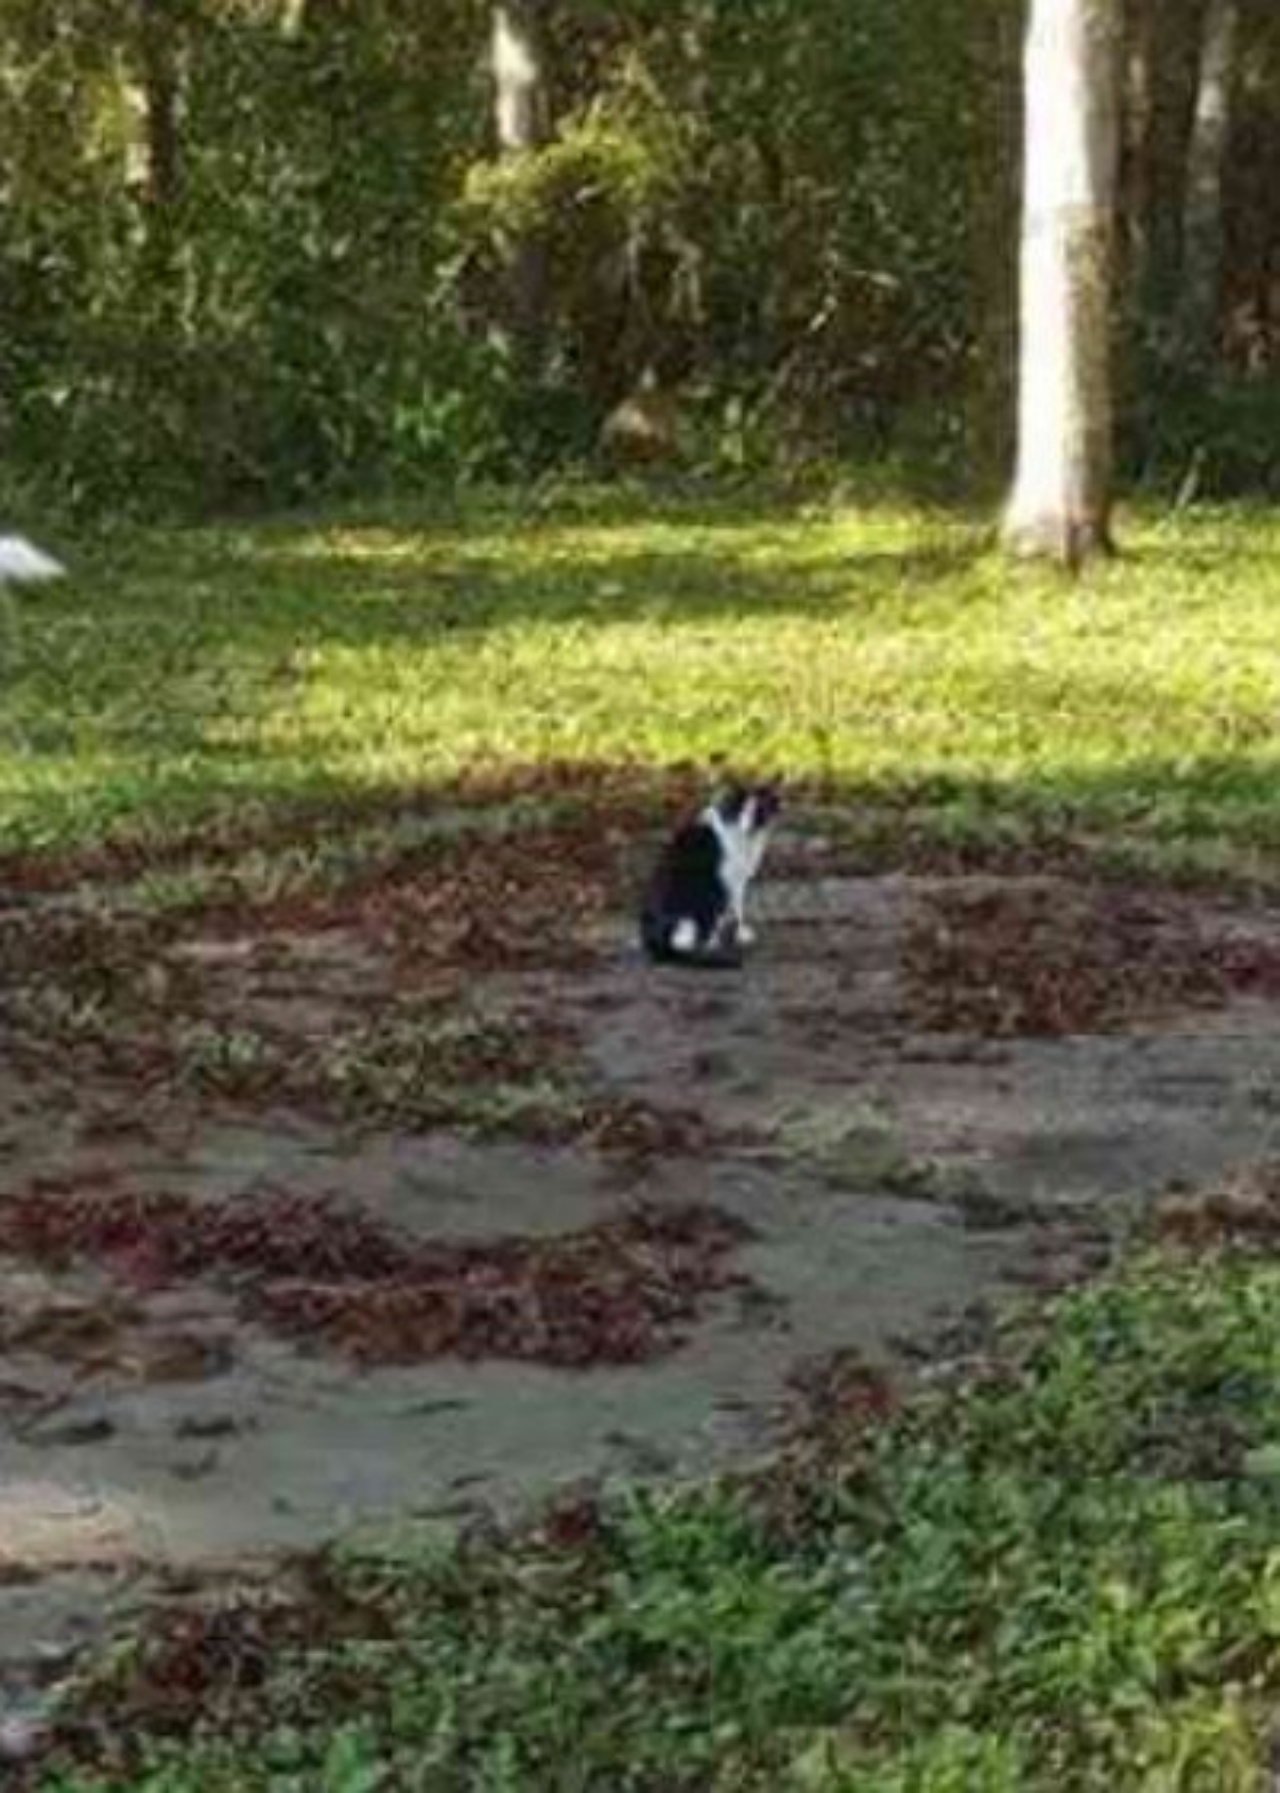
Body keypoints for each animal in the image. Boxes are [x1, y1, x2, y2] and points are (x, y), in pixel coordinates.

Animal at [638, 781, 778, 968]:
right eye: (739, 810)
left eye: (759, 811)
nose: (750, 824)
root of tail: (658, 941)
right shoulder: (730, 880)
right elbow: (736, 909)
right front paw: (738, 934)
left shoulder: (737, 880)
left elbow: (735, 908)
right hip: (705, 896)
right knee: (689, 941)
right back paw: (710, 944)